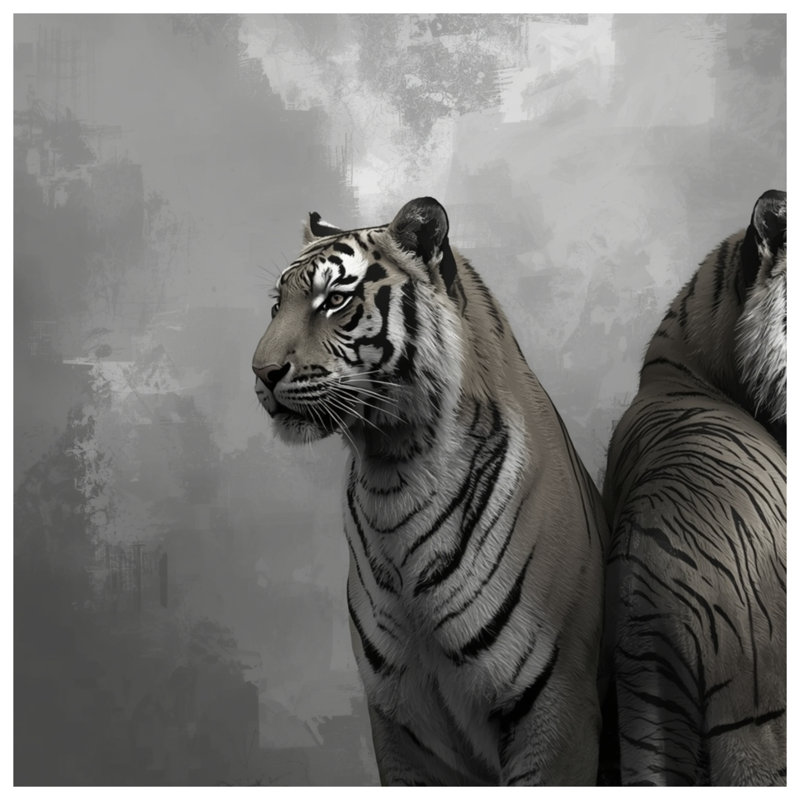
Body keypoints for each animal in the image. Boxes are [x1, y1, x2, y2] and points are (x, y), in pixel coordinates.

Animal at [252, 197, 609, 785]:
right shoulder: (399, 718)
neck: (392, 474)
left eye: (335, 300)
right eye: (278, 305)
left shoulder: (556, 710)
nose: (261, 372)